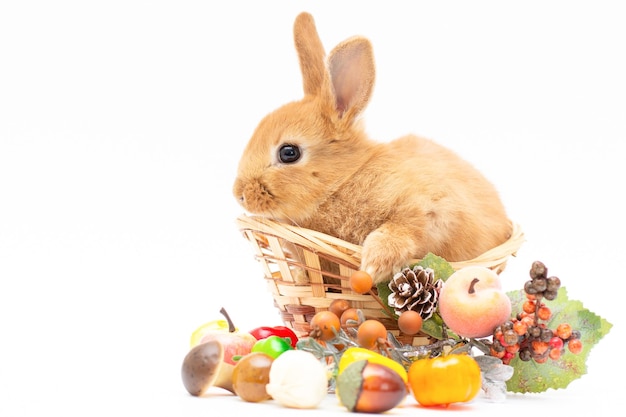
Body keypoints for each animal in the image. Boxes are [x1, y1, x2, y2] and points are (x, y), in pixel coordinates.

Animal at [232, 12, 510, 282]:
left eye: (289, 153)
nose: (240, 195)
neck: (343, 181)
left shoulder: (432, 208)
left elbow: (404, 228)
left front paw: (374, 264)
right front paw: (299, 277)